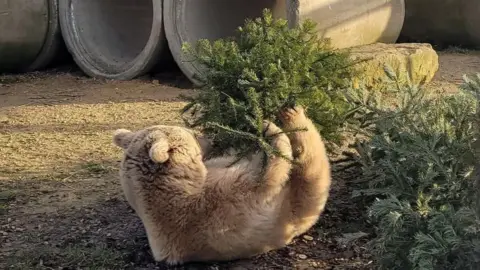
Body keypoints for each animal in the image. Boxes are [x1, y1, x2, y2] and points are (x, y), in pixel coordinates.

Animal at [112, 105, 330, 264]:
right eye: (192, 134)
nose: (210, 138)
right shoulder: (219, 208)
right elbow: (267, 175)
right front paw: (268, 128)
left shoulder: (213, 171)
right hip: (298, 204)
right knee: (310, 165)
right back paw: (293, 116)